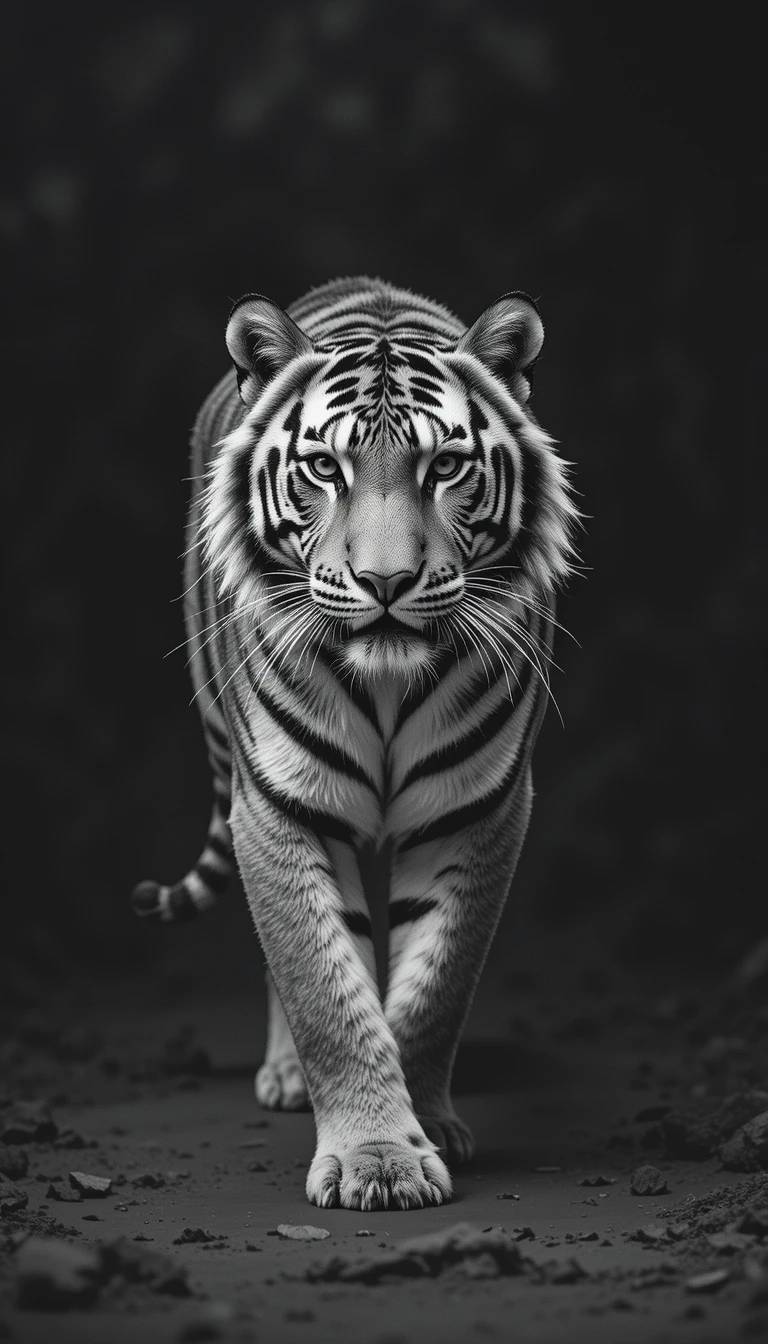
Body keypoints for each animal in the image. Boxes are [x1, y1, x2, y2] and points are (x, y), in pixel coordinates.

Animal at [132, 276, 578, 1211]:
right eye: (323, 470)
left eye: (444, 467)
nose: (385, 582)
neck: (386, 688)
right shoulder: (280, 806)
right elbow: (323, 987)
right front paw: (374, 1155)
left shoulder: (479, 809)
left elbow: (436, 986)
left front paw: (423, 1132)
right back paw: (284, 1077)